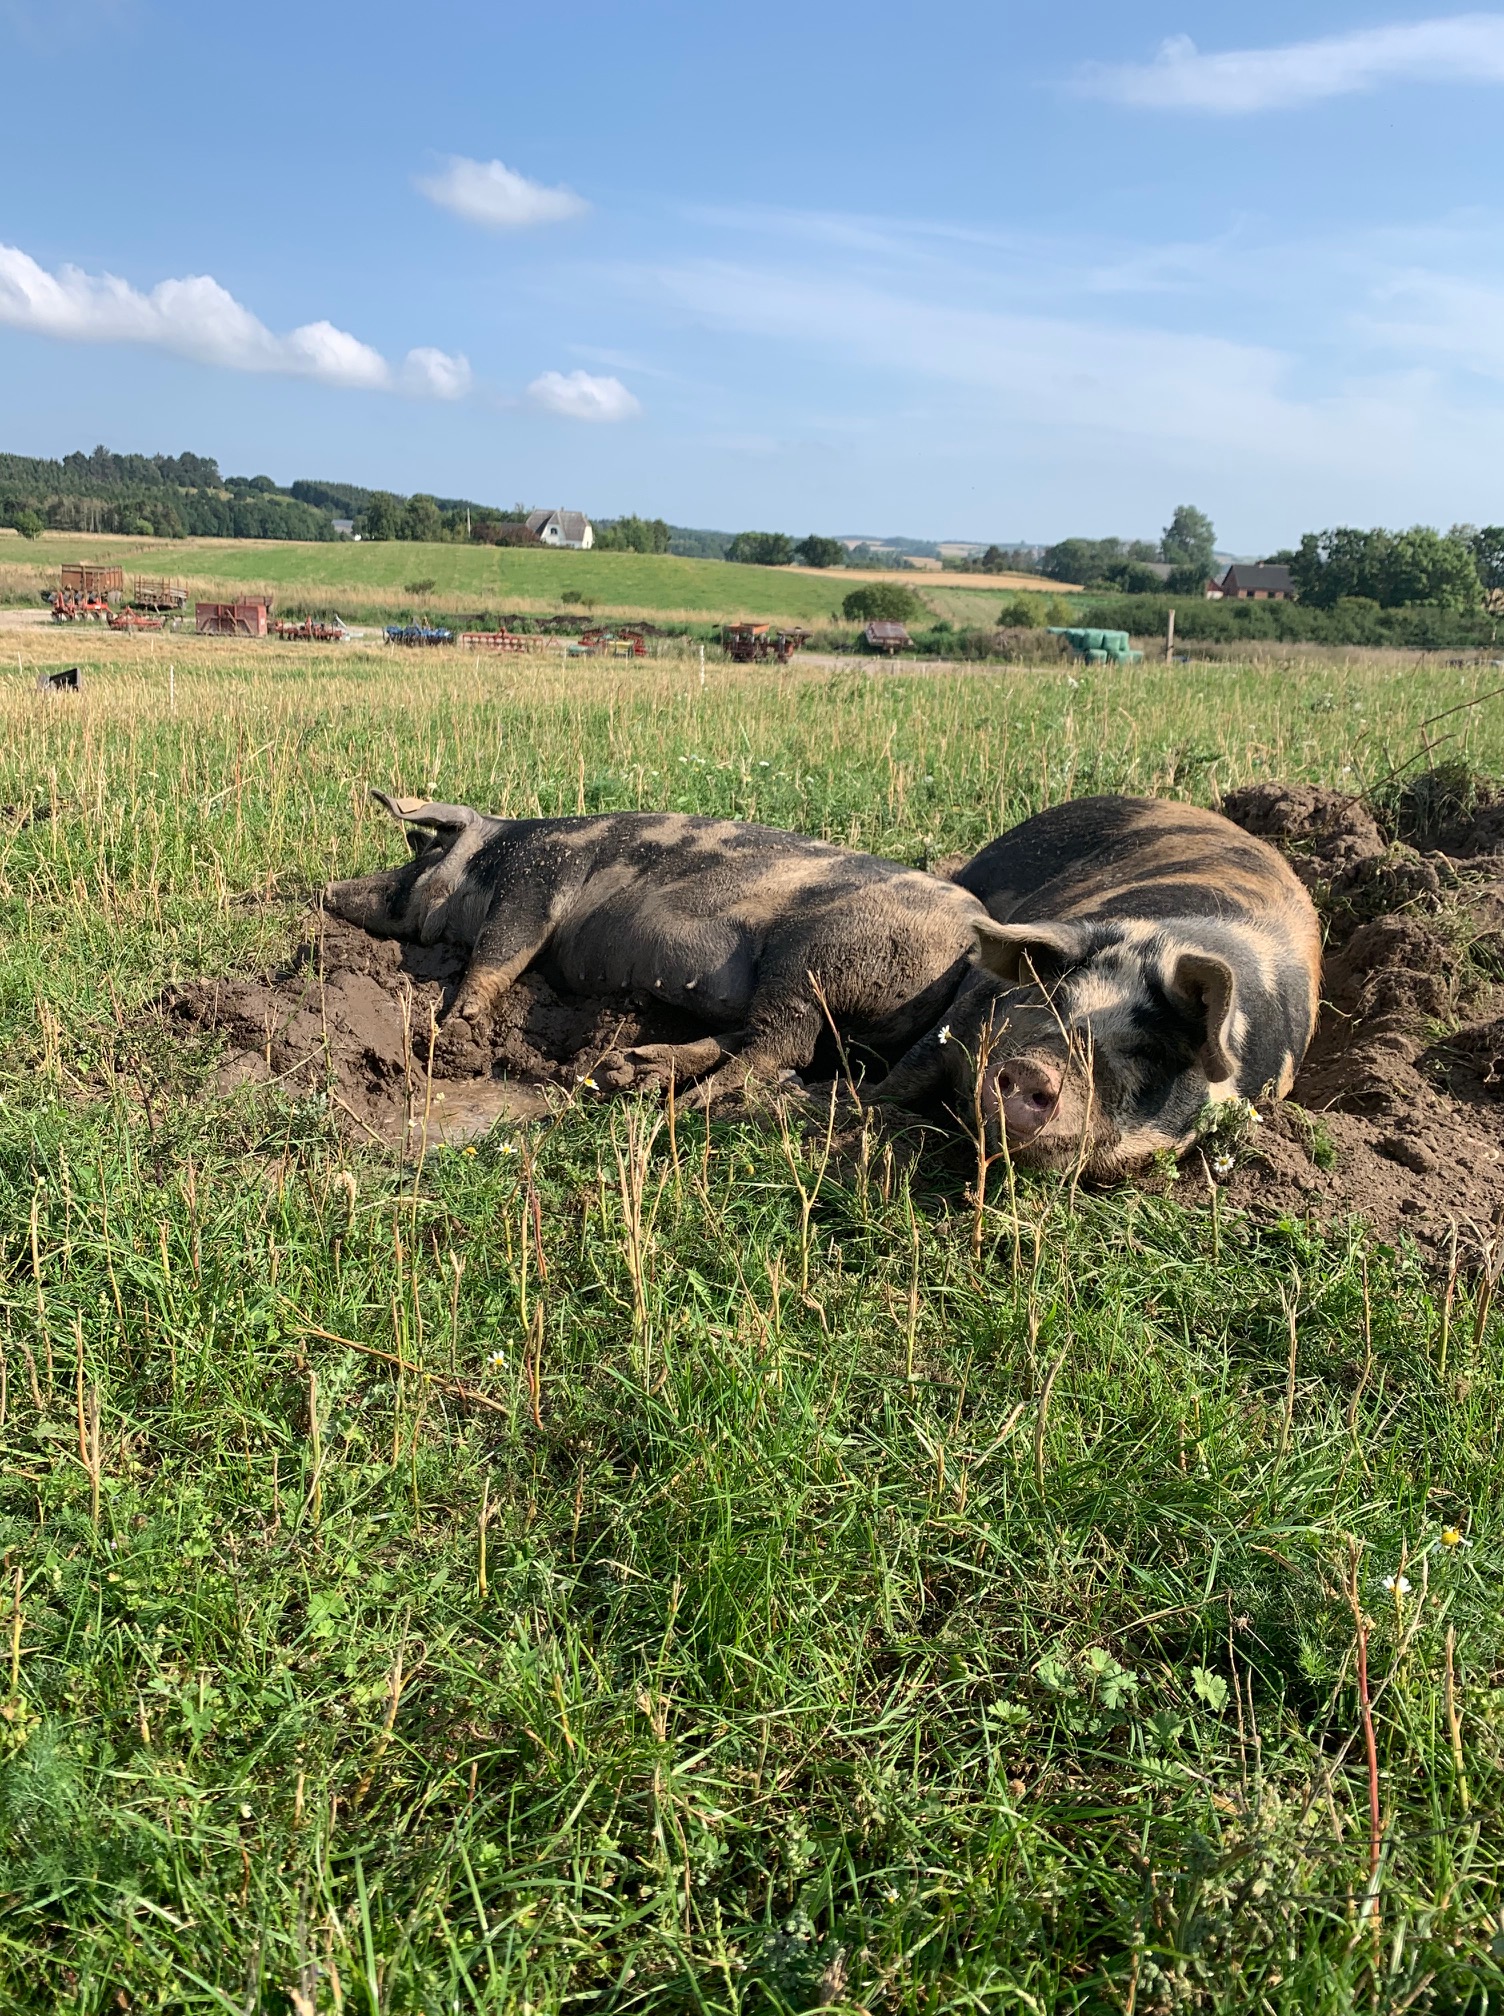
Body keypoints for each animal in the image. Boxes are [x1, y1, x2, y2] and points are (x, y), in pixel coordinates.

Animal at [323, 792, 990, 1102]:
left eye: (426, 851)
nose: (328, 890)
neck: (493, 855)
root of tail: (972, 938)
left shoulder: (535, 883)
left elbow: (502, 950)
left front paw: (454, 1022)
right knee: (760, 1039)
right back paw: (637, 1068)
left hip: (812, 960)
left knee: (780, 1049)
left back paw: (692, 1104)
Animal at [878, 795, 1322, 1174]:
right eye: (1052, 1000)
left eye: (1148, 1049)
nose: (1032, 1068)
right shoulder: (968, 1008)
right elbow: (906, 1074)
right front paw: (866, 1103)